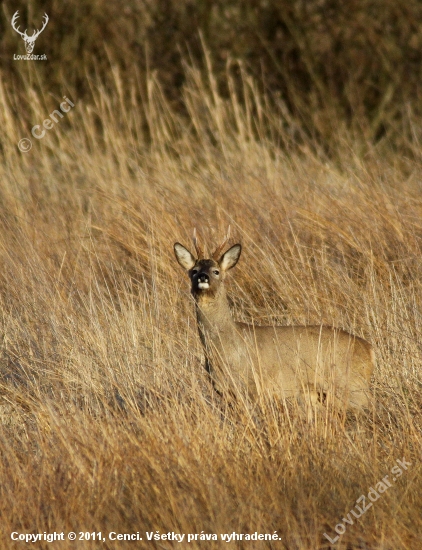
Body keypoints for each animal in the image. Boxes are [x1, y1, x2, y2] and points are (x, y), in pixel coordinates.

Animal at [173, 231, 374, 412]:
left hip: (350, 385)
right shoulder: (226, 391)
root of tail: (368, 349)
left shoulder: (253, 386)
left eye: (216, 271)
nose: (203, 277)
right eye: (194, 271)